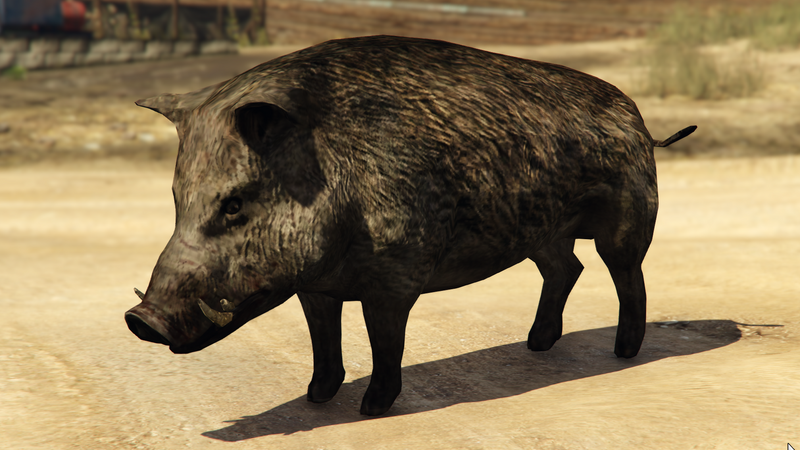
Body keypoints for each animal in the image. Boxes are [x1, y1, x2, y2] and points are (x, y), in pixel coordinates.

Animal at [125, 35, 696, 416]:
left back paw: (623, 352)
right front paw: (316, 398)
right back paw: (536, 345)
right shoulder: (314, 286)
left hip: (630, 218)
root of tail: (640, 121)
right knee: (567, 268)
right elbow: (323, 338)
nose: (140, 320)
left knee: (626, 275)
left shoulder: (396, 275)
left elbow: (385, 341)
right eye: (176, 199)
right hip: (541, 231)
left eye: (234, 204)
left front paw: (371, 409)